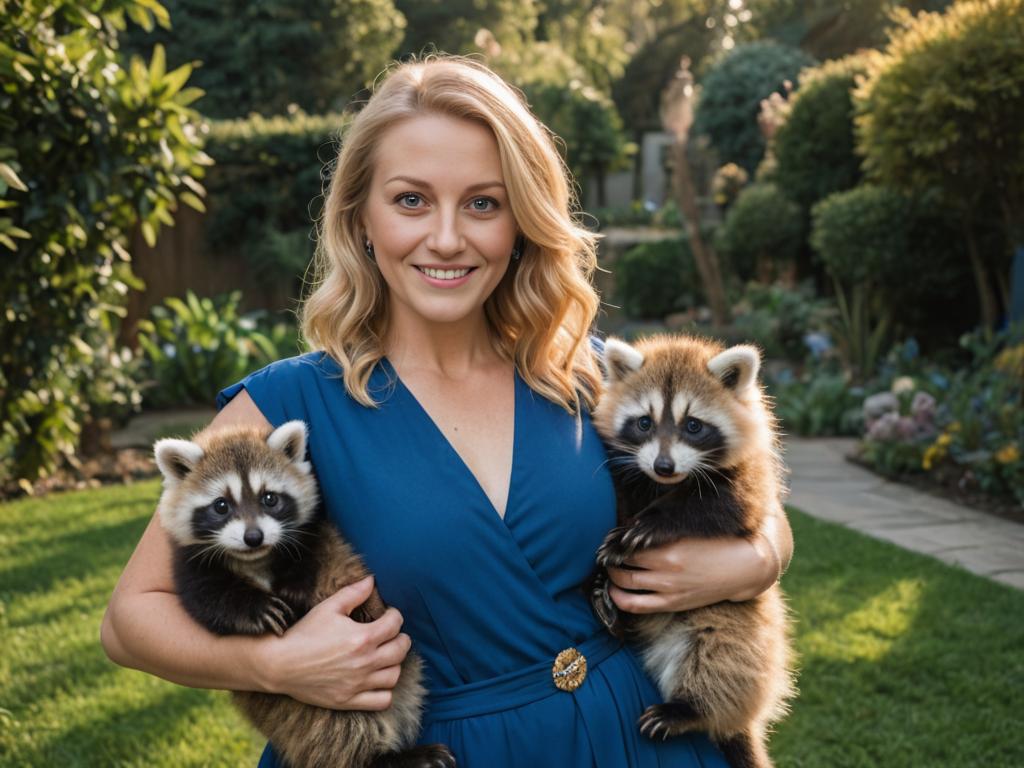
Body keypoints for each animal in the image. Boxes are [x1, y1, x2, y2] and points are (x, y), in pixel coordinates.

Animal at [153, 421, 454, 768]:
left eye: (269, 498)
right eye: (221, 505)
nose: (253, 537)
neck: (255, 559)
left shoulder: (318, 536)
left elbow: (316, 558)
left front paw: (294, 586)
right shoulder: (190, 565)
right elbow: (206, 601)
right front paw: (254, 608)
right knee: (333, 726)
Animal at [589, 335, 794, 768]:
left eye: (693, 425)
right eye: (644, 422)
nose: (663, 466)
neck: (667, 483)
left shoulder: (751, 481)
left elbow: (718, 508)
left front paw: (653, 523)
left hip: (737, 619)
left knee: (724, 651)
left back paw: (691, 708)